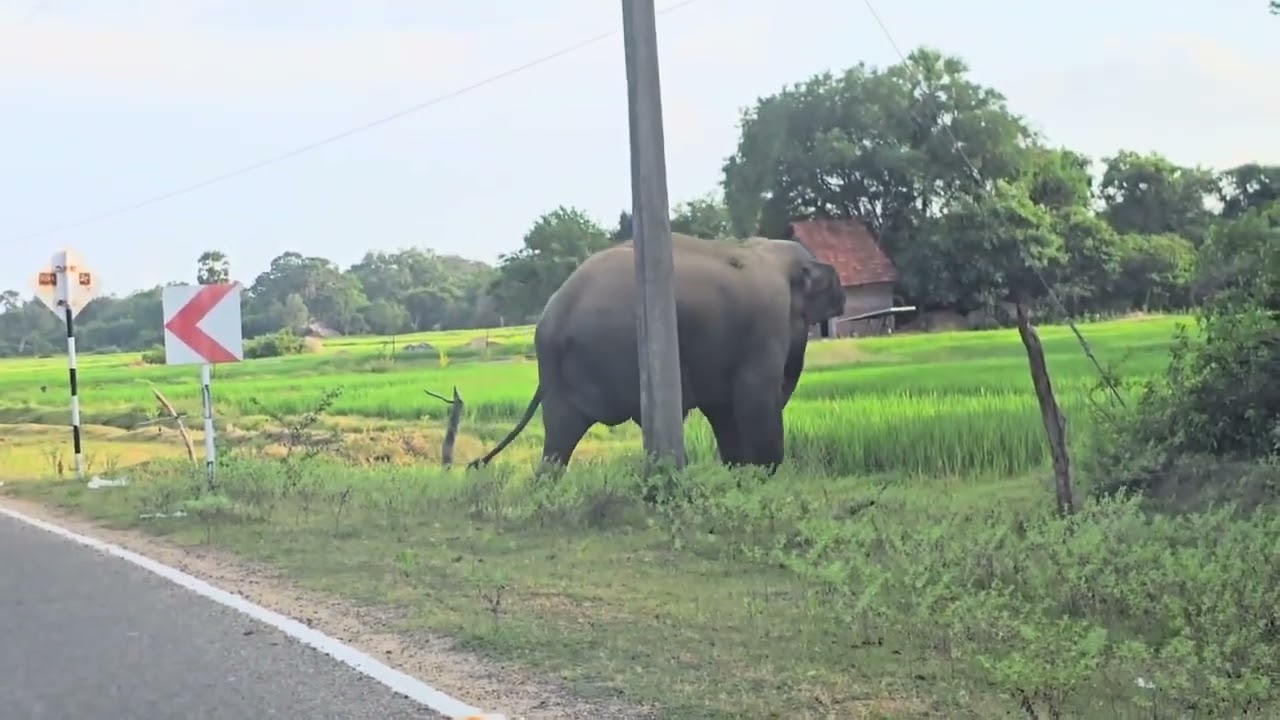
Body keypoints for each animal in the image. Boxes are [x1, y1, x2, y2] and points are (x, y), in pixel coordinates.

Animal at [467, 232, 846, 473]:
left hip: (569, 378)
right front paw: (764, 473)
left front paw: (740, 472)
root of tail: (553, 323)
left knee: (559, 434)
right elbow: (752, 397)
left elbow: (723, 407)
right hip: (620, 352)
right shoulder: (766, 323)